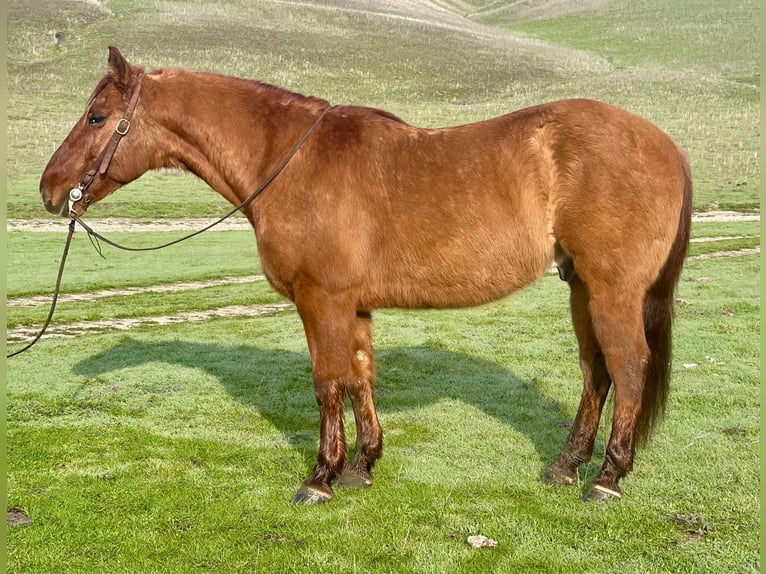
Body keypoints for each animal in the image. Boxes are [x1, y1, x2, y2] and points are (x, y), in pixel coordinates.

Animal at [39, 47, 692, 506]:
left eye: (97, 116)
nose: (49, 189)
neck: (292, 160)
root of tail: (665, 144)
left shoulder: (319, 298)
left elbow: (328, 382)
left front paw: (321, 477)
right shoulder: (351, 304)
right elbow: (359, 377)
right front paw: (362, 465)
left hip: (612, 290)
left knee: (628, 366)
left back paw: (607, 477)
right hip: (581, 287)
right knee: (596, 370)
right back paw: (565, 465)